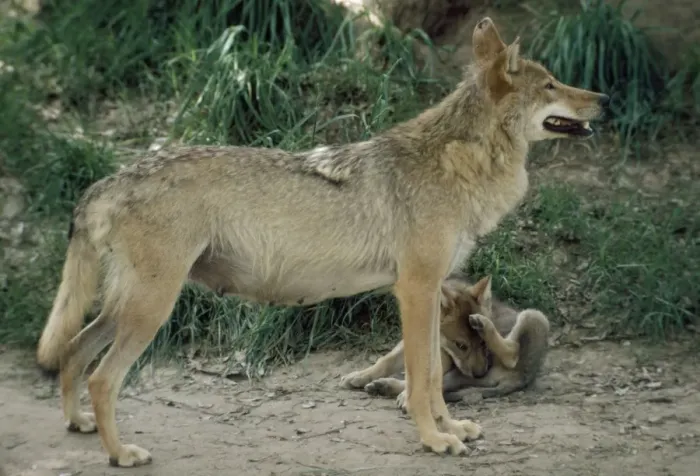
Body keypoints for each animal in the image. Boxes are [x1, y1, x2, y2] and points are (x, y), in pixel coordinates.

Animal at [340, 274, 550, 407]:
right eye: (461, 345)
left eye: (483, 344)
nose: (480, 373)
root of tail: (521, 378)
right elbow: (386, 361)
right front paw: (359, 375)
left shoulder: (445, 357)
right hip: (462, 376)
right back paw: (383, 387)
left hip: (534, 316)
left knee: (512, 352)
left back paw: (482, 324)